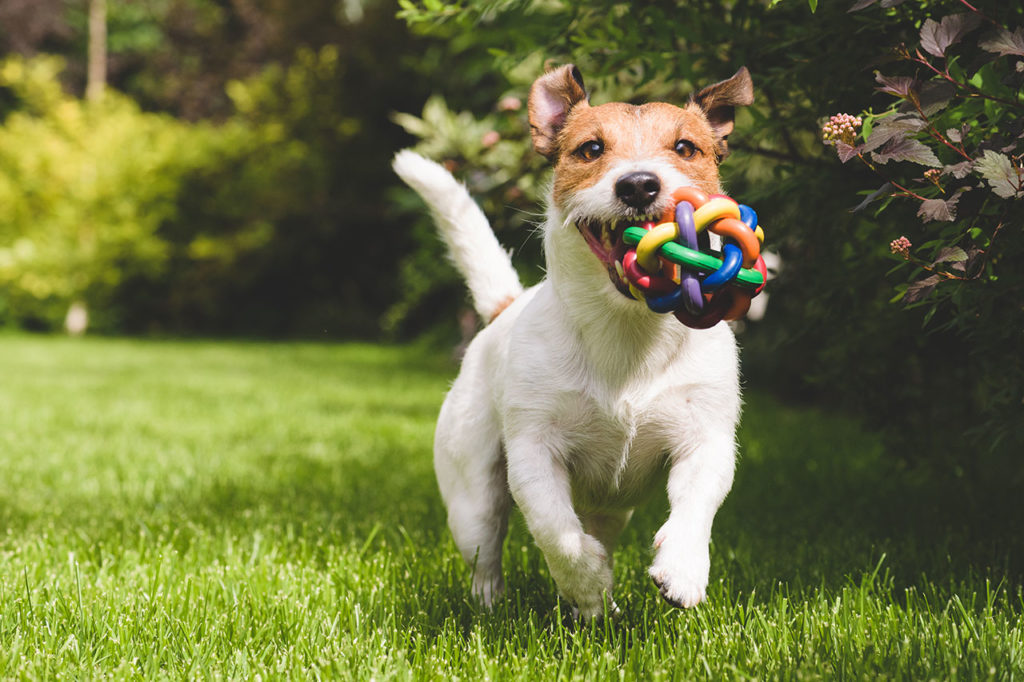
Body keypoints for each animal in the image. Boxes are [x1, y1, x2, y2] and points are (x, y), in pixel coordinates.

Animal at [395, 65, 757, 614]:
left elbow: (697, 504)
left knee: (600, 527)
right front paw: (586, 581)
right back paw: (507, 602)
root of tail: (505, 307)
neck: (626, 329)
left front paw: (683, 568)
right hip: (471, 494)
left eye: (685, 147)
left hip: (612, 509)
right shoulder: (533, 451)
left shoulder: (705, 438)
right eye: (590, 149)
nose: (639, 184)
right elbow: (556, 531)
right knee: (486, 550)